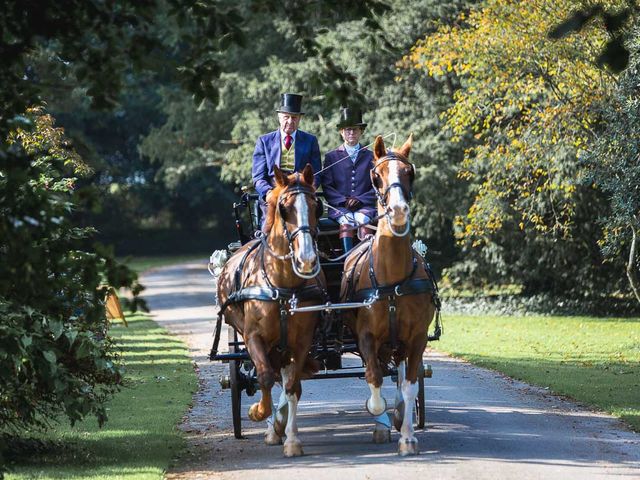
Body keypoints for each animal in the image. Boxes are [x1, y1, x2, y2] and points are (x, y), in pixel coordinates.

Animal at [216, 165, 324, 458]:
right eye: (284, 208)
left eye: (316, 205)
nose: (307, 260)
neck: (282, 284)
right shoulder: (254, 337)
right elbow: (263, 375)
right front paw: (259, 413)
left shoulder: (302, 342)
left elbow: (292, 386)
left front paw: (291, 439)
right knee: (267, 373)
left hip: (284, 347)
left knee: (284, 377)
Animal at [340, 133, 440, 456]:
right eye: (377, 175)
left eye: (410, 172)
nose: (397, 211)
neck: (393, 279)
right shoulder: (366, 337)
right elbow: (374, 381)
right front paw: (382, 418)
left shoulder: (417, 338)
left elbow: (408, 386)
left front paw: (407, 435)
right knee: (381, 372)